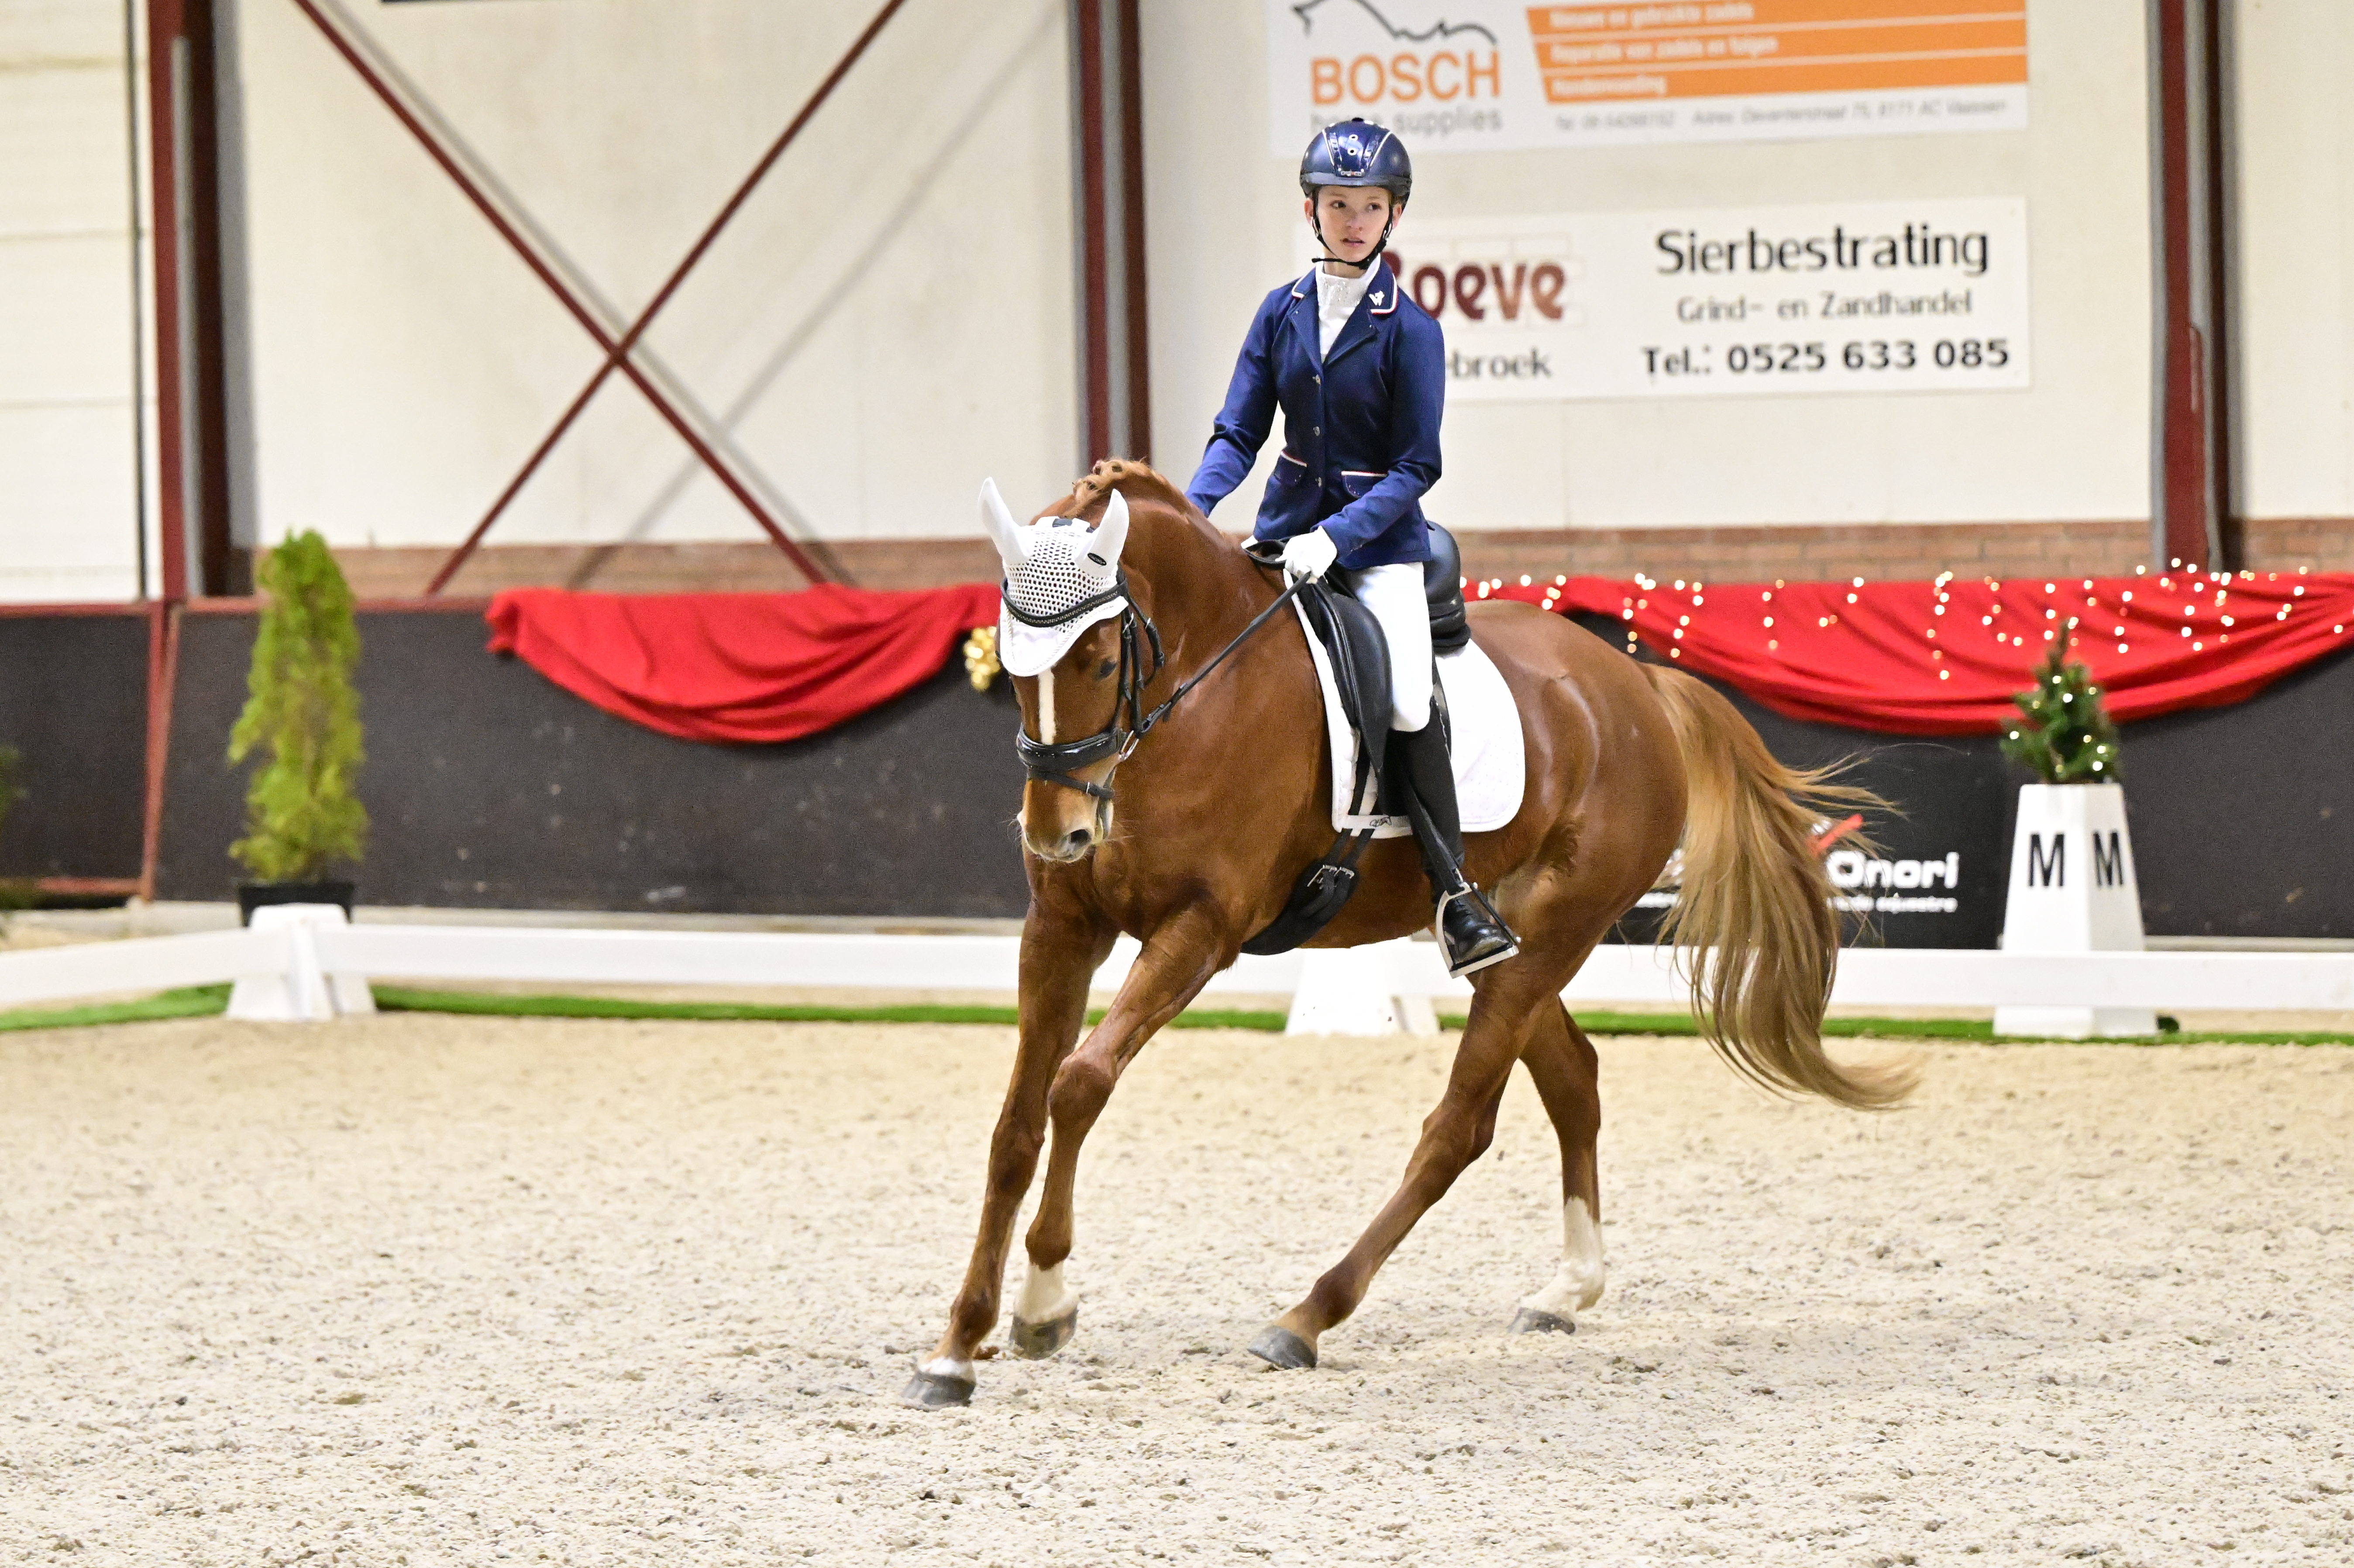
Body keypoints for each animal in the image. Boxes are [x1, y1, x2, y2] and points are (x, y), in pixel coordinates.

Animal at [899, 454, 1911, 1403]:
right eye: (1012, 669)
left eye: (1103, 660)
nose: (1059, 832)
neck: (1194, 690)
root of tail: (1636, 682)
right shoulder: (1062, 927)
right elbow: (1016, 1123)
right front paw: (956, 1346)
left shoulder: (1201, 930)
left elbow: (1078, 1084)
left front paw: (1042, 1304)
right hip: (1510, 937)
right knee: (1571, 1080)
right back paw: (1566, 1290)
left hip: (1554, 930)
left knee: (1458, 1126)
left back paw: (1307, 1315)